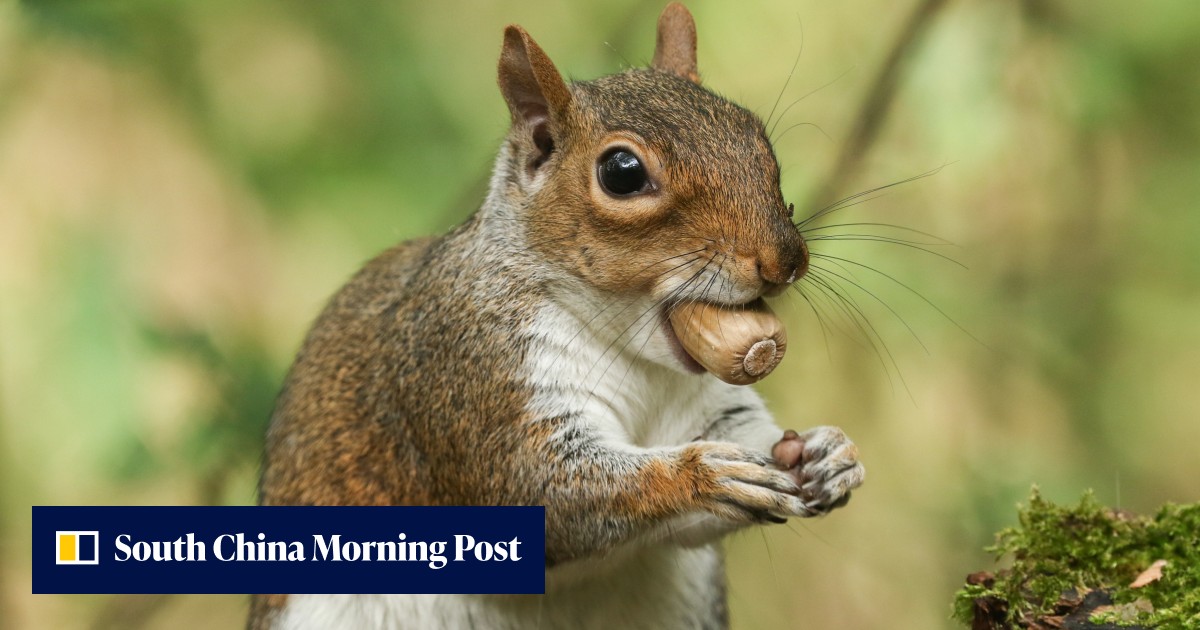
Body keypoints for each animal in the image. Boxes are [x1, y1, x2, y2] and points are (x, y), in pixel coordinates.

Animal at [250, 4, 865, 629]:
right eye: (622, 172)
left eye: (754, 132)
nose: (785, 260)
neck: (638, 359)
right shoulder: (470, 374)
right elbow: (544, 492)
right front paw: (704, 475)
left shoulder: (711, 405)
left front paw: (827, 453)